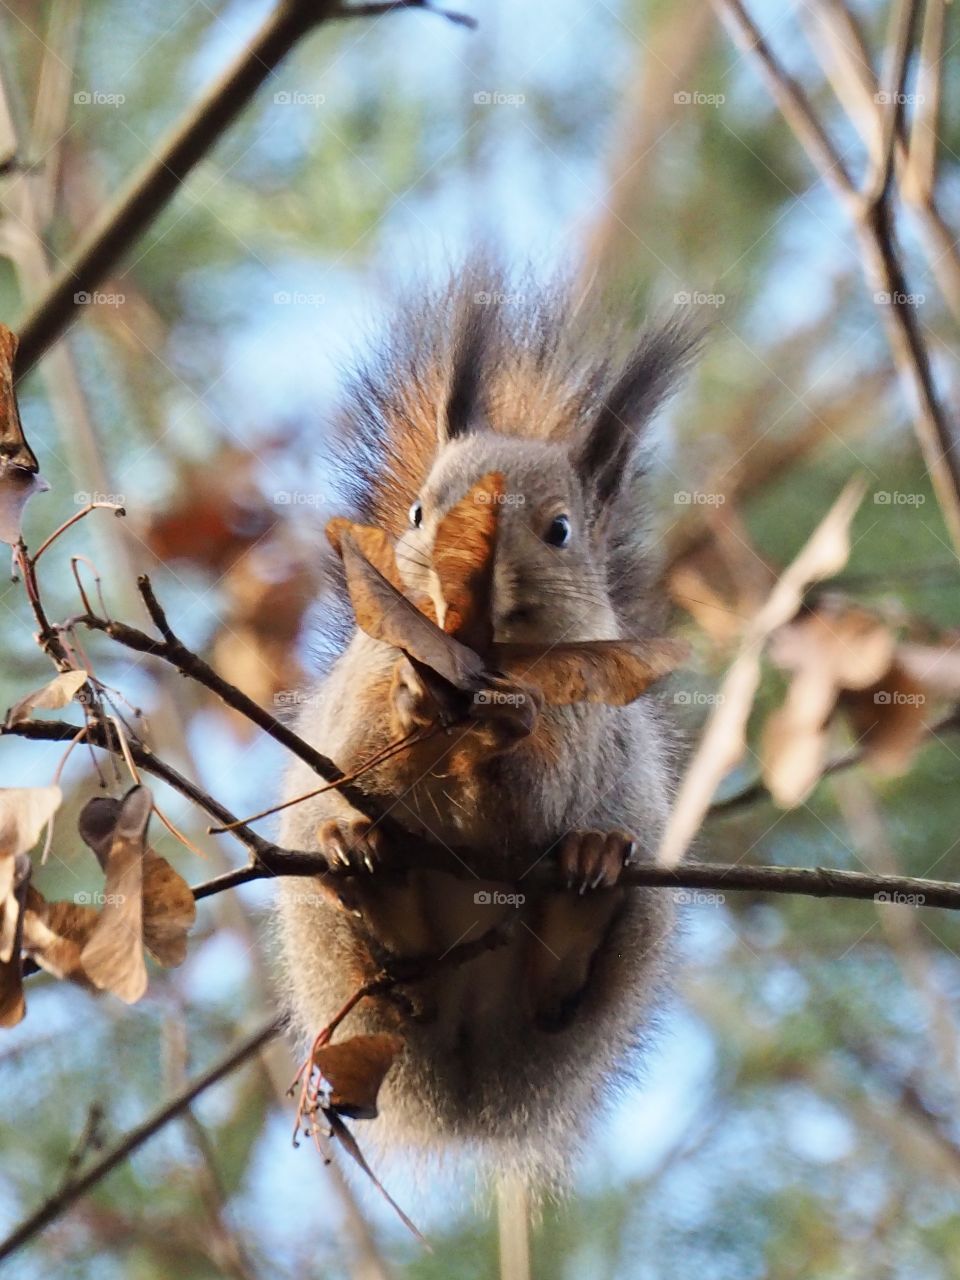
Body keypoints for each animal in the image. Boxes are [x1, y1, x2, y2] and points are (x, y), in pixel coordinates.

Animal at [274, 265, 698, 1188]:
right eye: (418, 514)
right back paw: (368, 871)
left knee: (556, 995)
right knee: (403, 982)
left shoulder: (585, 718)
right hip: (331, 954)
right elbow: (365, 758)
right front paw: (411, 703)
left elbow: (533, 797)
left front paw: (508, 731)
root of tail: (470, 1080)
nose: (458, 584)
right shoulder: (358, 701)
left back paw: (584, 883)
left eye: (560, 530)